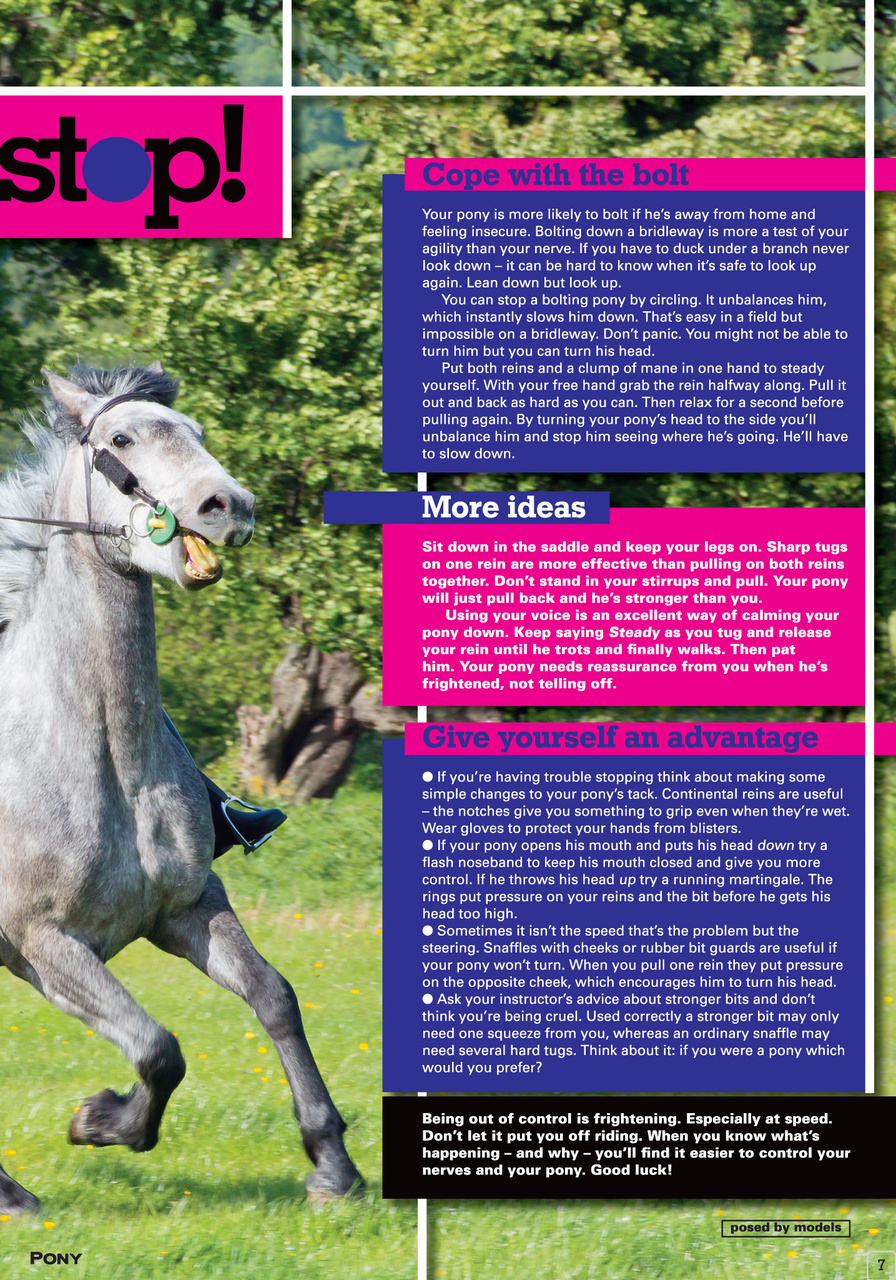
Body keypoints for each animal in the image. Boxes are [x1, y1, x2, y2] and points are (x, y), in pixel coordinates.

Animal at [0, 363, 362, 1214]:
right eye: (122, 439)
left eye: (195, 431)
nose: (229, 507)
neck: (103, 759)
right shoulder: (43, 944)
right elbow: (158, 1049)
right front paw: (100, 1120)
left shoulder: (189, 906)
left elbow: (273, 996)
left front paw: (333, 1166)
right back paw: (14, 1194)